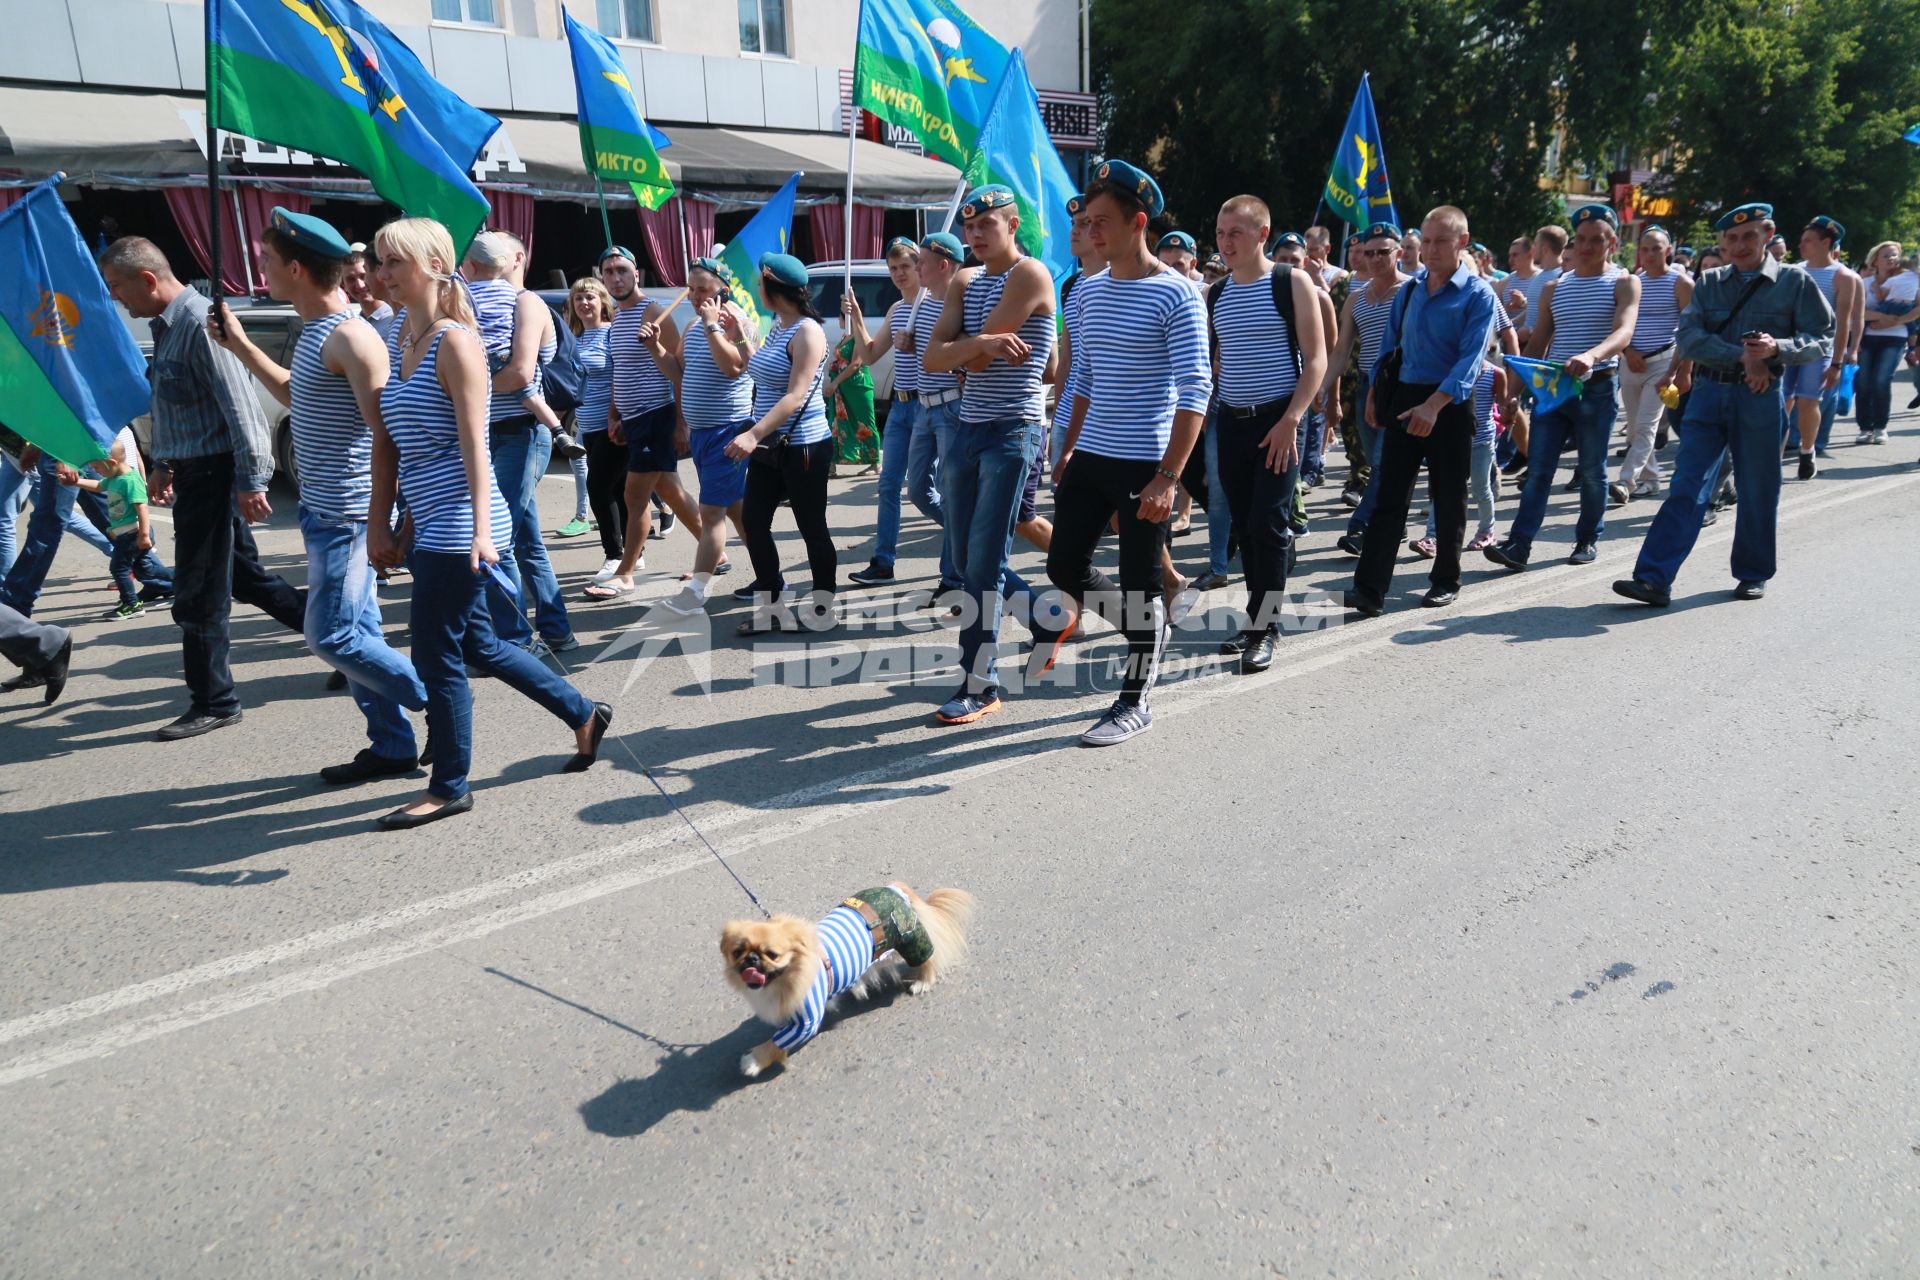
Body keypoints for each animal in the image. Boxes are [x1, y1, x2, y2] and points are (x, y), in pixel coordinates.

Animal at [721, 882, 975, 1082]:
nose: (751, 959)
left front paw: (752, 1061)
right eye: (737, 952)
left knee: (928, 959)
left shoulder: (807, 1022)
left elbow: (775, 1043)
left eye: (772, 954)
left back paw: (923, 982)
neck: (786, 977)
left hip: (911, 939)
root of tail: (897, 889)